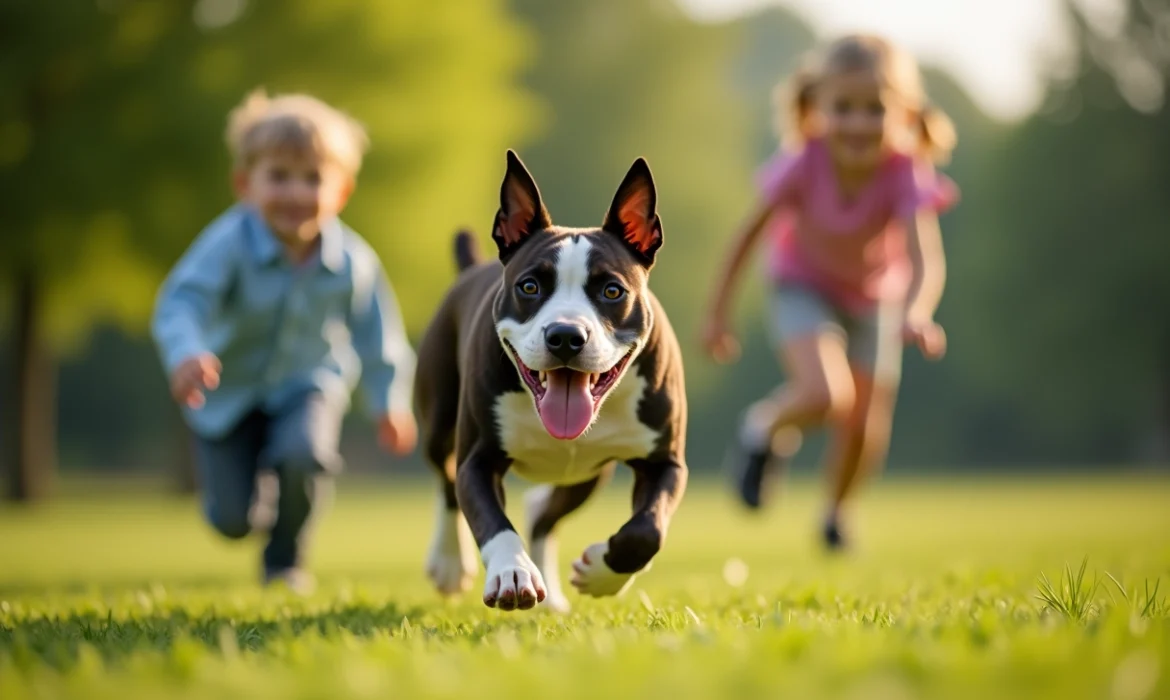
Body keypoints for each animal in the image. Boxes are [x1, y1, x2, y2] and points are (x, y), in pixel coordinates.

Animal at [411, 151, 683, 613]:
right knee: (446, 478)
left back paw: (554, 594)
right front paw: (512, 572)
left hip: (588, 474)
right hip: (438, 420)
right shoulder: (478, 460)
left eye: (612, 291)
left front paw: (602, 574)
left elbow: (647, 531)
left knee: (544, 514)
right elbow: (492, 521)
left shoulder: (665, 462)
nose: (566, 336)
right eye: (529, 286)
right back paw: (449, 564)